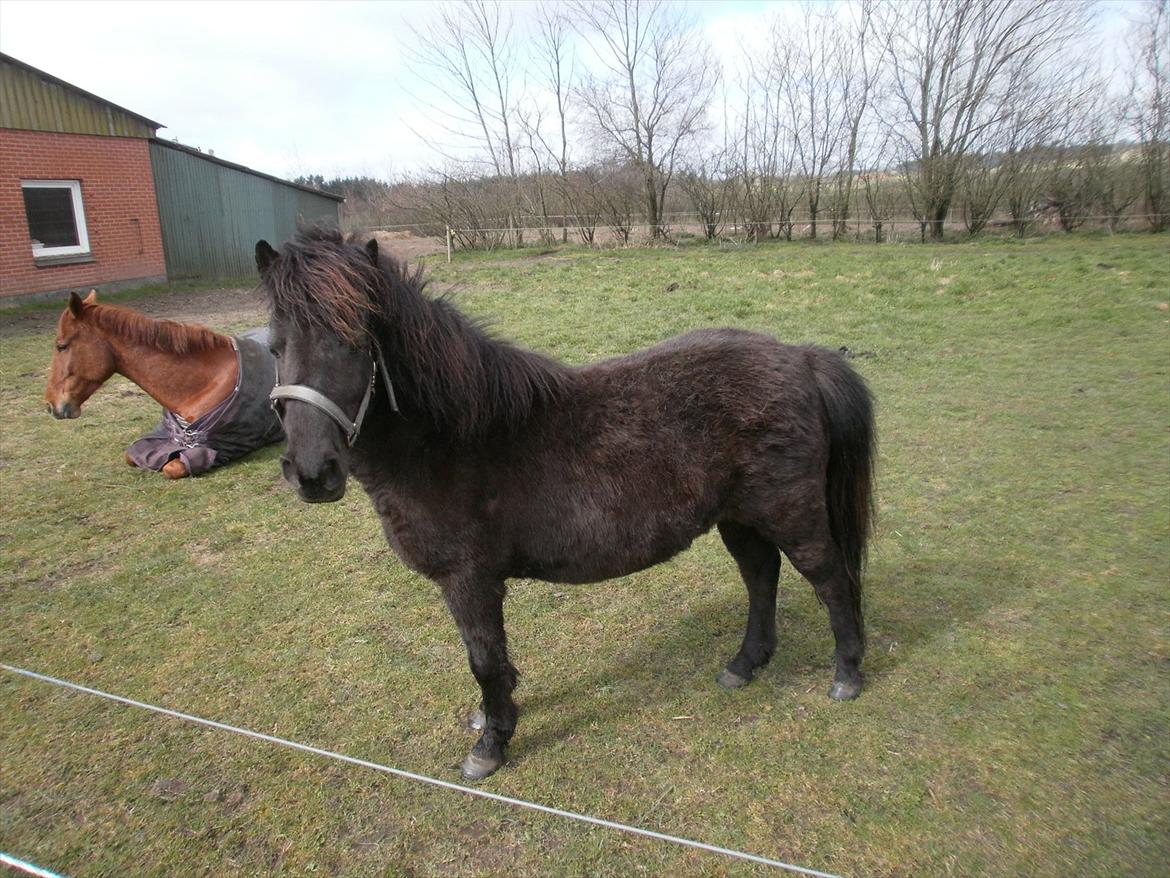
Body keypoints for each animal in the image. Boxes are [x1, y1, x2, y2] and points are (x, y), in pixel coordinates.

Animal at [46, 292, 285, 477]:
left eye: (61, 346)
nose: (50, 405)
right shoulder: (161, 436)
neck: (204, 383)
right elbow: (131, 455)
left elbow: (173, 468)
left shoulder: (218, 447)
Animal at [258, 230, 879, 782]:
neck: (451, 436)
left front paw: (491, 746)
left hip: (790, 512)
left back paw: (847, 673)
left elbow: (482, 659)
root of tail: (801, 358)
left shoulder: (469, 579)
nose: (312, 472)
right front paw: (493, 715)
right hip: (739, 517)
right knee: (760, 576)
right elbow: (493, 660)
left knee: (830, 578)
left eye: (356, 343)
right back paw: (744, 665)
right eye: (274, 347)